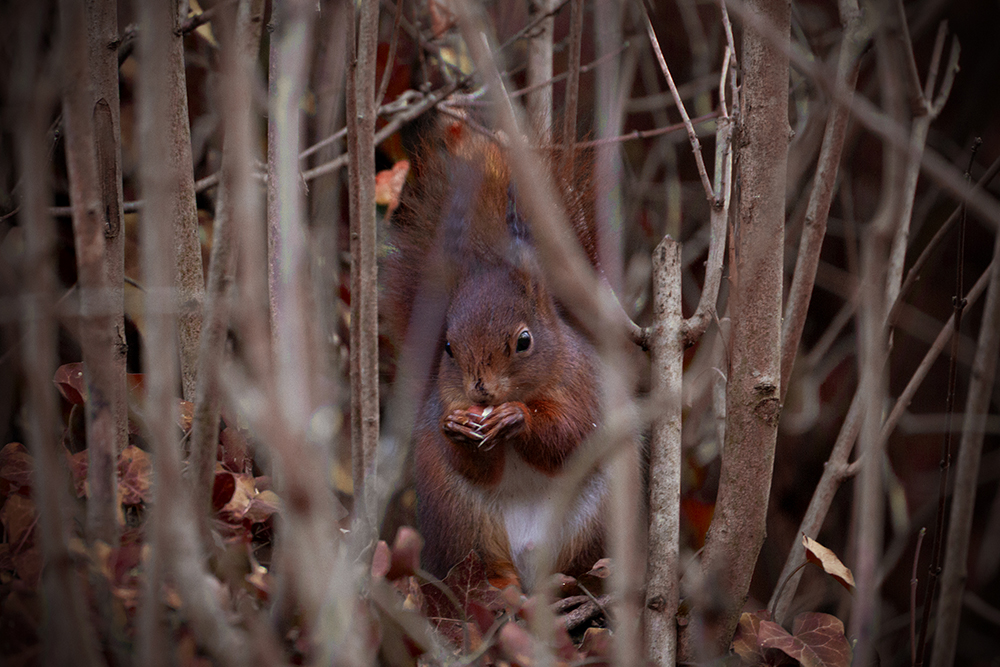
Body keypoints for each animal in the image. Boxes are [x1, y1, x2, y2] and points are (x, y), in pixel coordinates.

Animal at [383, 120, 606, 590]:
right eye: (448, 347)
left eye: (524, 341)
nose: (480, 390)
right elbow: (473, 464)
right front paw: (456, 427)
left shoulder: (583, 388)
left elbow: (570, 436)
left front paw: (517, 418)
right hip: (460, 520)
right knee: (483, 566)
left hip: (593, 524)